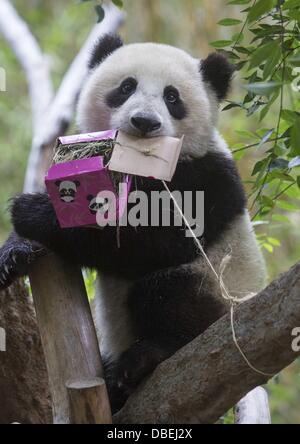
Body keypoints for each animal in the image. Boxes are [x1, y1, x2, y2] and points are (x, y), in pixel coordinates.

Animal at [0, 34, 268, 412]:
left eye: (172, 97)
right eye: (127, 87)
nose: (144, 122)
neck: (142, 161)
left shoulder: (207, 179)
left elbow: (148, 244)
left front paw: (33, 212)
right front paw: (15, 253)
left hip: (222, 291)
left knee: (169, 293)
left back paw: (147, 358)